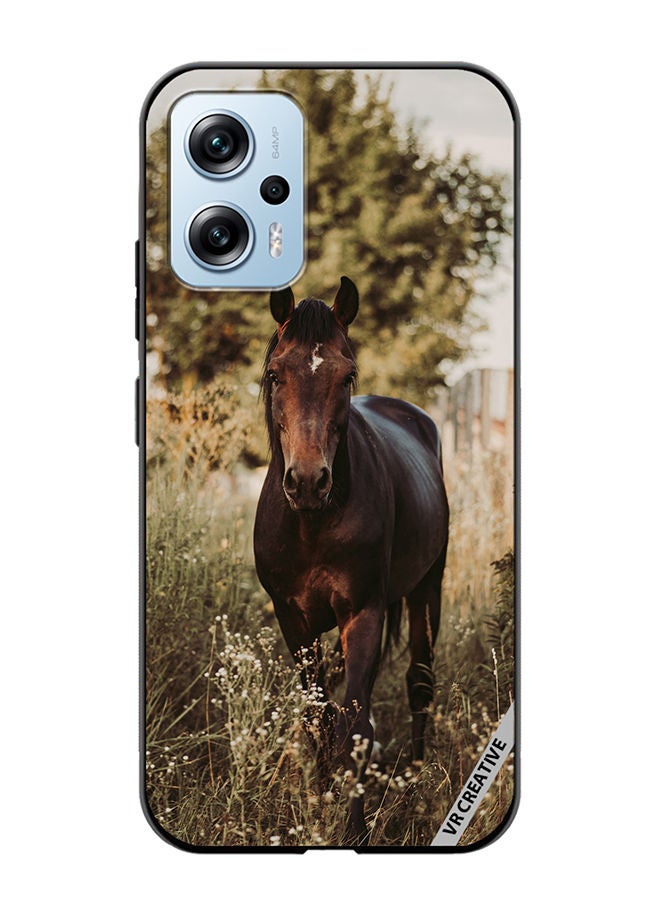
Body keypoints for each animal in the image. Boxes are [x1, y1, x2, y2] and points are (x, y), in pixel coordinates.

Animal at [253, 276, 449, 840]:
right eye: (275, 373)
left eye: (348, 376)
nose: (308, 481)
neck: (312, 523)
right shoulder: (293, 621)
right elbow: (318, 719)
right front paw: (319, 807)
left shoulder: (363, 613)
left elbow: (356, 724)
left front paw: (355, 830)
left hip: (427, 588)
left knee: (419, 684)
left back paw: (413, 783)